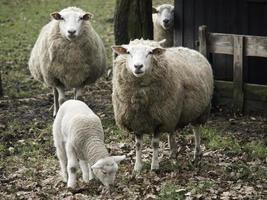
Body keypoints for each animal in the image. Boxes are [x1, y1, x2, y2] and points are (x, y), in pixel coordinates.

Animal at [112, 38, 215, 172]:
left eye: (150, 52)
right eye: (128, 52)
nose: (138, 66)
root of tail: (191, 49)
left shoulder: (159, 120)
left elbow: (155, 144)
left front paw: (154, 166)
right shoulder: (136, 121)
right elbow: (138, 145)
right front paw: (138, 167)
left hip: (199, 110)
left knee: (196, 129)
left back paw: (197, 154)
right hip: (172, 112)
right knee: (172, 131)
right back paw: (173, 152)